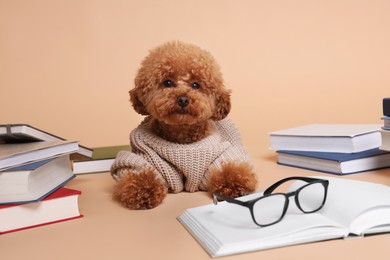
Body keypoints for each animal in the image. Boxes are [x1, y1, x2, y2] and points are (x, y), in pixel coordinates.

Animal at [110, 41, 256, 210]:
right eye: (167, 82)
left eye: (196, 85)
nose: (183, 99)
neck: (183, 137)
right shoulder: (144, 157)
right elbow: (137, 172)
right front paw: (143, 191)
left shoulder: (224, 154)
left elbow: (229, 169)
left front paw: (235, 186)